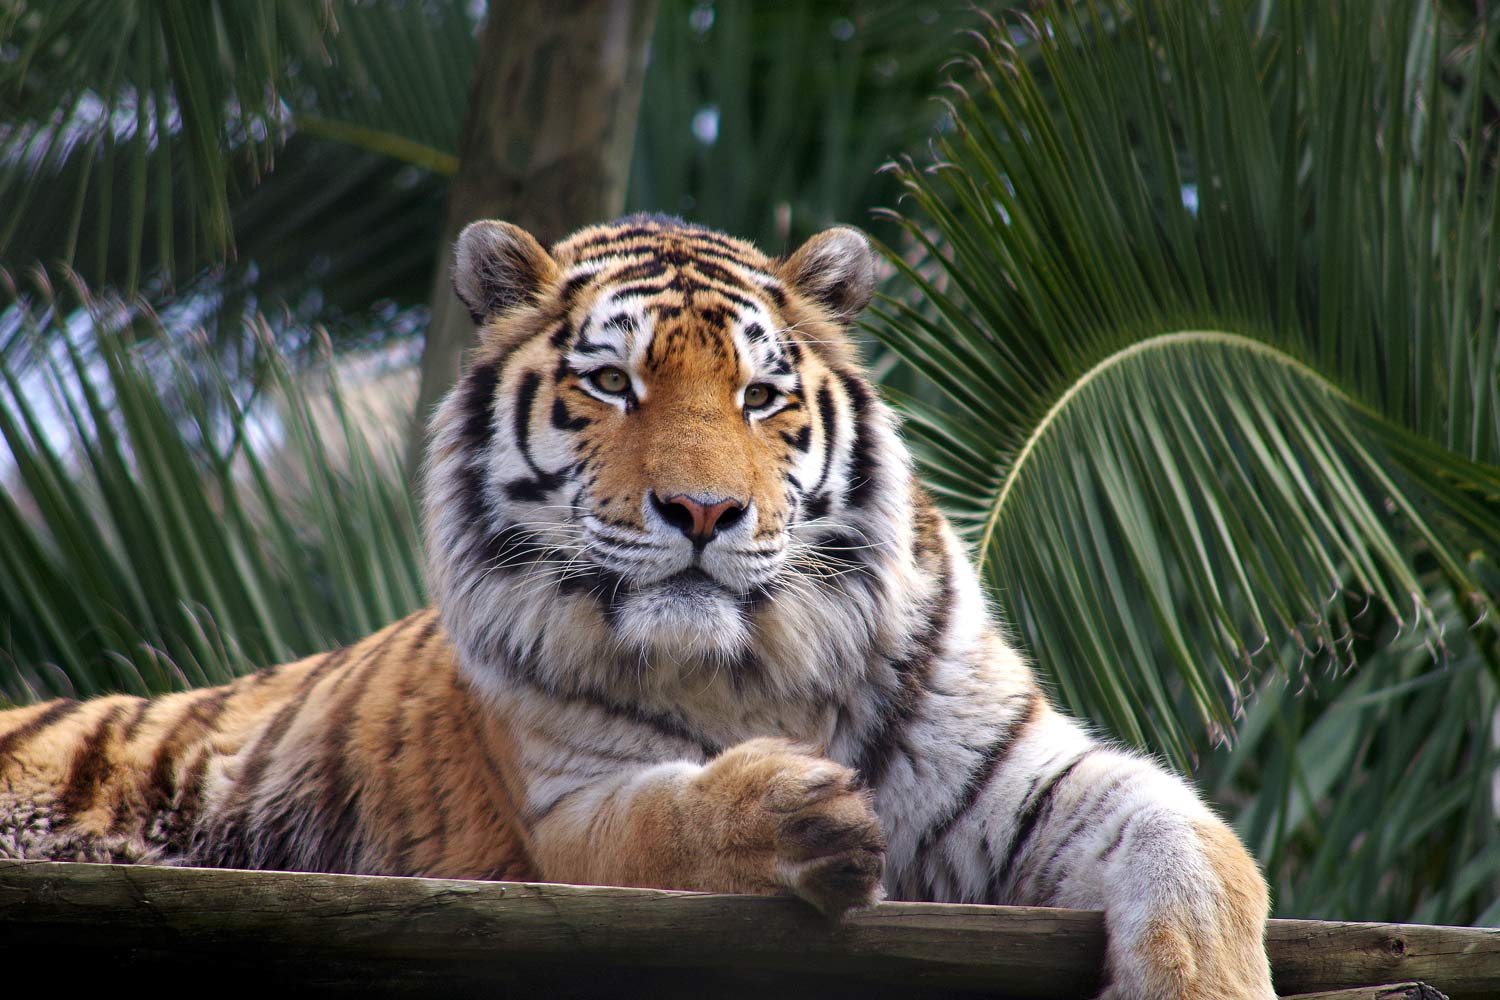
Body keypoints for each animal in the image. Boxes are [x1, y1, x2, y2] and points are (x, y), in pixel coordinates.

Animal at [0, 215, 1274, 999]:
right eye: (611, 382)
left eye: (761, 396)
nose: (703, 510)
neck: (757, 667)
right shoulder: (565, 808)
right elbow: (668, 820)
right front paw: (794, 816)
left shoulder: (1022, 772)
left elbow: (1201, 845)